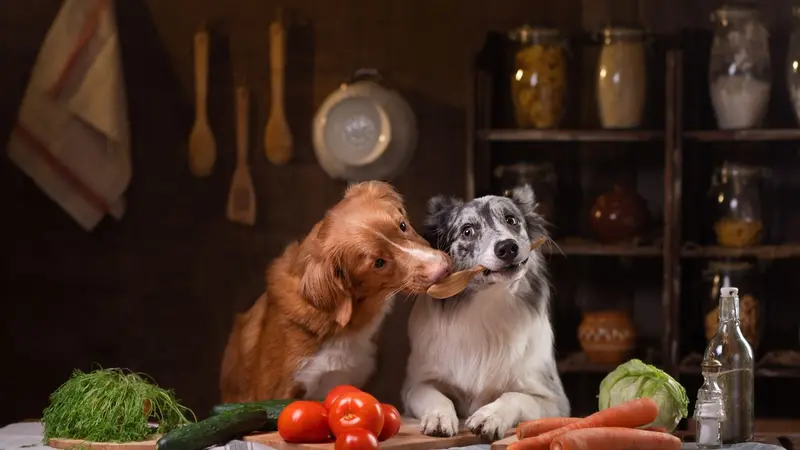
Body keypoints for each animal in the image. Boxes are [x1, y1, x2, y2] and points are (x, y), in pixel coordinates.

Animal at [404, 185, 572, 442]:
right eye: (467, 231)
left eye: (511, 220)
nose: (507, 247)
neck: (489, 303)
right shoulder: (416, 385)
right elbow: (435, 396)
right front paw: (439, 417)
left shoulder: (554, 400)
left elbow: (514, 396)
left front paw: (489, 416)